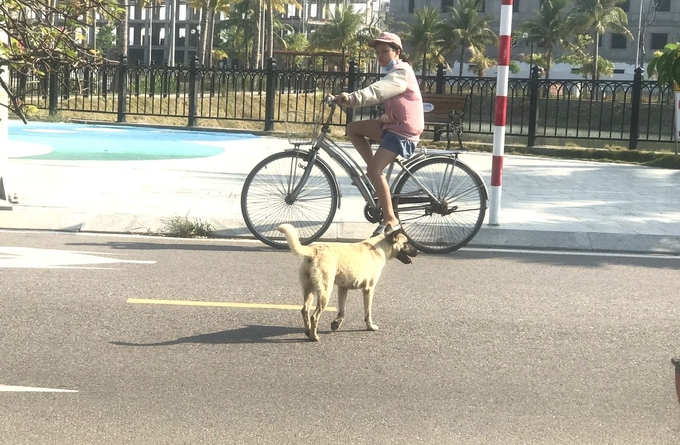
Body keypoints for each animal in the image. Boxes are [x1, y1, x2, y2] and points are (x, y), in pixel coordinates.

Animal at [274, 224, 414, 342]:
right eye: (406, 243)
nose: (417, 252)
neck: (379, 246)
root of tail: (314, 251)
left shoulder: (342, 289)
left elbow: (342, 310)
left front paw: (337, 323)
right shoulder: (368, 290)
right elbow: (368, 312)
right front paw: (370, 326)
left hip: (310, 290)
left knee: (304, 310)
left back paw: (308, 332)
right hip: (325, 292)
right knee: (314, 316)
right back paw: (314, 337)